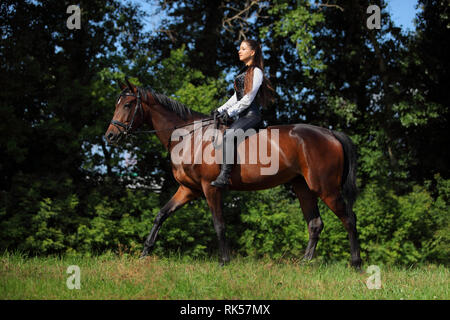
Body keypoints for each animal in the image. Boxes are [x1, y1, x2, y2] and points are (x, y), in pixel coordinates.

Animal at [104, 79, 362, 268]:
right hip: (304, 188)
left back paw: (356, 263)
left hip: (326, 189)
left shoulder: (210, 188)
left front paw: (224, 262)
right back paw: (304, 263)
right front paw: (144, 254)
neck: (189, 137)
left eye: (127, 105)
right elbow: (160, 215)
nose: (110, 136)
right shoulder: (188, 189)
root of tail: (330, 134)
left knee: (349, 219)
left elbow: (219, 224)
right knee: (315, 224)